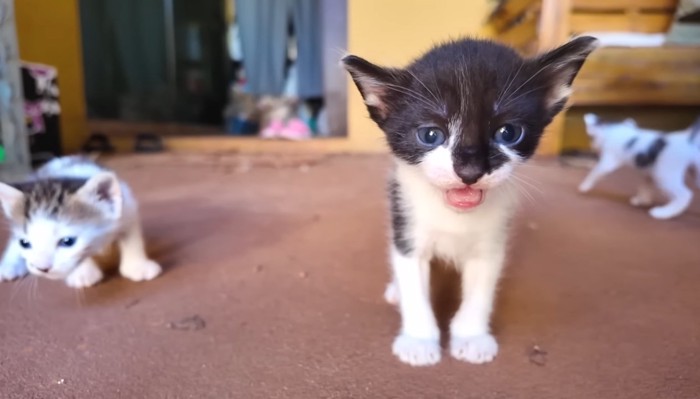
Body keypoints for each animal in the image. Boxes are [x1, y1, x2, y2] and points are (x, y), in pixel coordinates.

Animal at [0, 156, 161, 288]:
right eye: (24, 243)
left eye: (67, 241)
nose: (42, 268)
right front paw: (83, 274)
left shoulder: (127, 209)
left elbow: (132, 238)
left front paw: (137, 267)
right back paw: (9, 267)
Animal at [342, 36, 600, 368]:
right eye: (430, 135)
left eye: (509, 132)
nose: (469, 171)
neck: (454, 215)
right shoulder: (407, 224)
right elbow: (413, 283)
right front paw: (418, 341)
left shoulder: (492, 241)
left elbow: (481, 289)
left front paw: (471, 337)